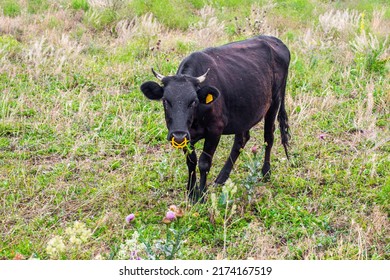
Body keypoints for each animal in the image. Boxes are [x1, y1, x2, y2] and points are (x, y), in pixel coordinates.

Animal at [140, 35, 290, 202]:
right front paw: (191, 193)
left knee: (268, 137)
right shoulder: (186, 134)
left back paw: (265, 173)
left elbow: (204, 163)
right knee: (242, 139)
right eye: (166, 100)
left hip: (275, 100)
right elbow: (191, 161)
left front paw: (202, 194)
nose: (178, 135)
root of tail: (274, 40)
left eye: (193, 101)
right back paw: (222, 178)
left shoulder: (215, 129)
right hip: (244, 111)